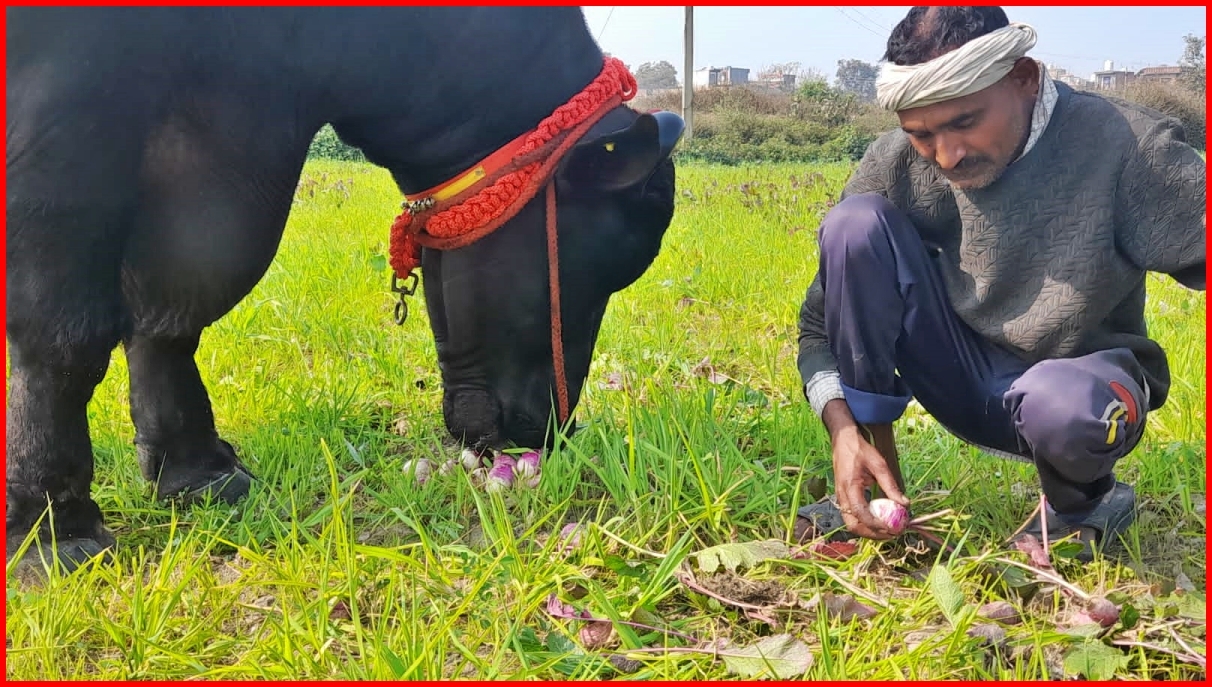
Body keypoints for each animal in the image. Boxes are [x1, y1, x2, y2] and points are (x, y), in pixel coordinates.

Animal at [2, 8, 683, 571]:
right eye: (607, 265)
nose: (550, 431)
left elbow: (175, 308)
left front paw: (197, 471)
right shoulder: (72, 103)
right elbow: (61, 331)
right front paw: (51, 527)